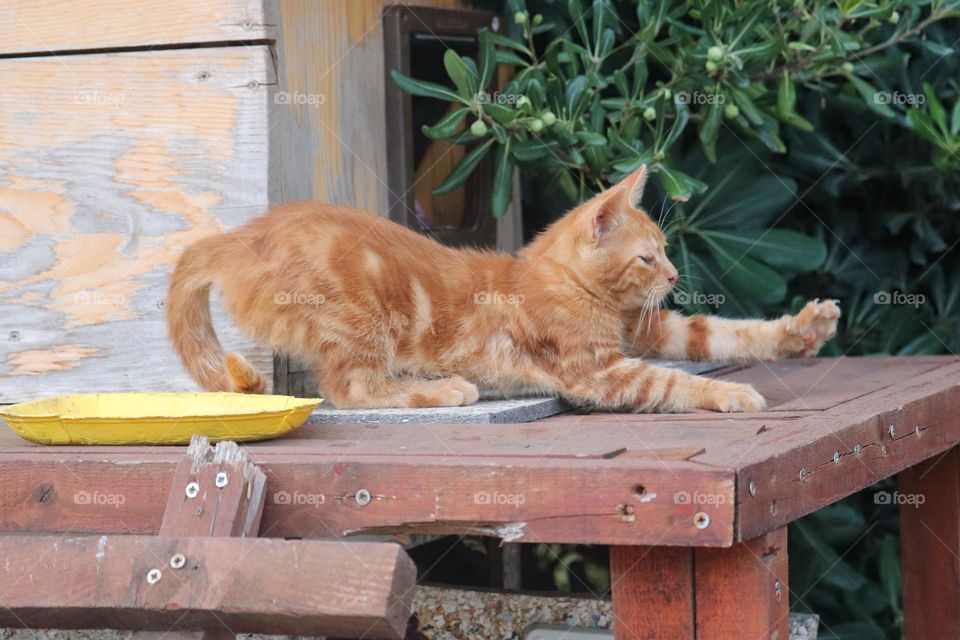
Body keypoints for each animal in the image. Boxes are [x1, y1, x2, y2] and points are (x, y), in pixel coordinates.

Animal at [167, 165, 840, 412]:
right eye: (649, 258)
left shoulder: (649, 329)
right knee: (350, 389)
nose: (675, 276)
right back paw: (443, 389)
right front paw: (732, 396)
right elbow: (672, 382)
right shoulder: (600, 370)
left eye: (668, 253)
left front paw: (802, 331)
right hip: (361, 317)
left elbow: (722, 334)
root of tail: (240, 237)